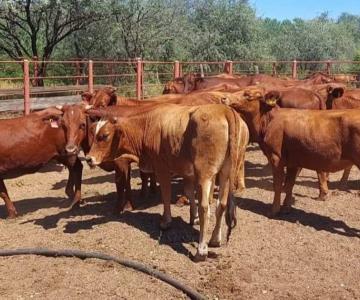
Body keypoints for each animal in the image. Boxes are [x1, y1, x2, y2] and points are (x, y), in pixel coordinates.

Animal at [86, 102, 249, 260]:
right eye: (94, 133)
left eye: (104, 135)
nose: (88, 158)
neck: (146, 126)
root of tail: (224, 110)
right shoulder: (188, 172)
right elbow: (189, 192)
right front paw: (193, 217)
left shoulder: (162, 169)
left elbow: (166, 195)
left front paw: (166, 221)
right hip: (225, 173)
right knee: (221, 204)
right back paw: (215, 239)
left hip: (205, 174)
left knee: (205, 208)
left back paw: (201, 250)